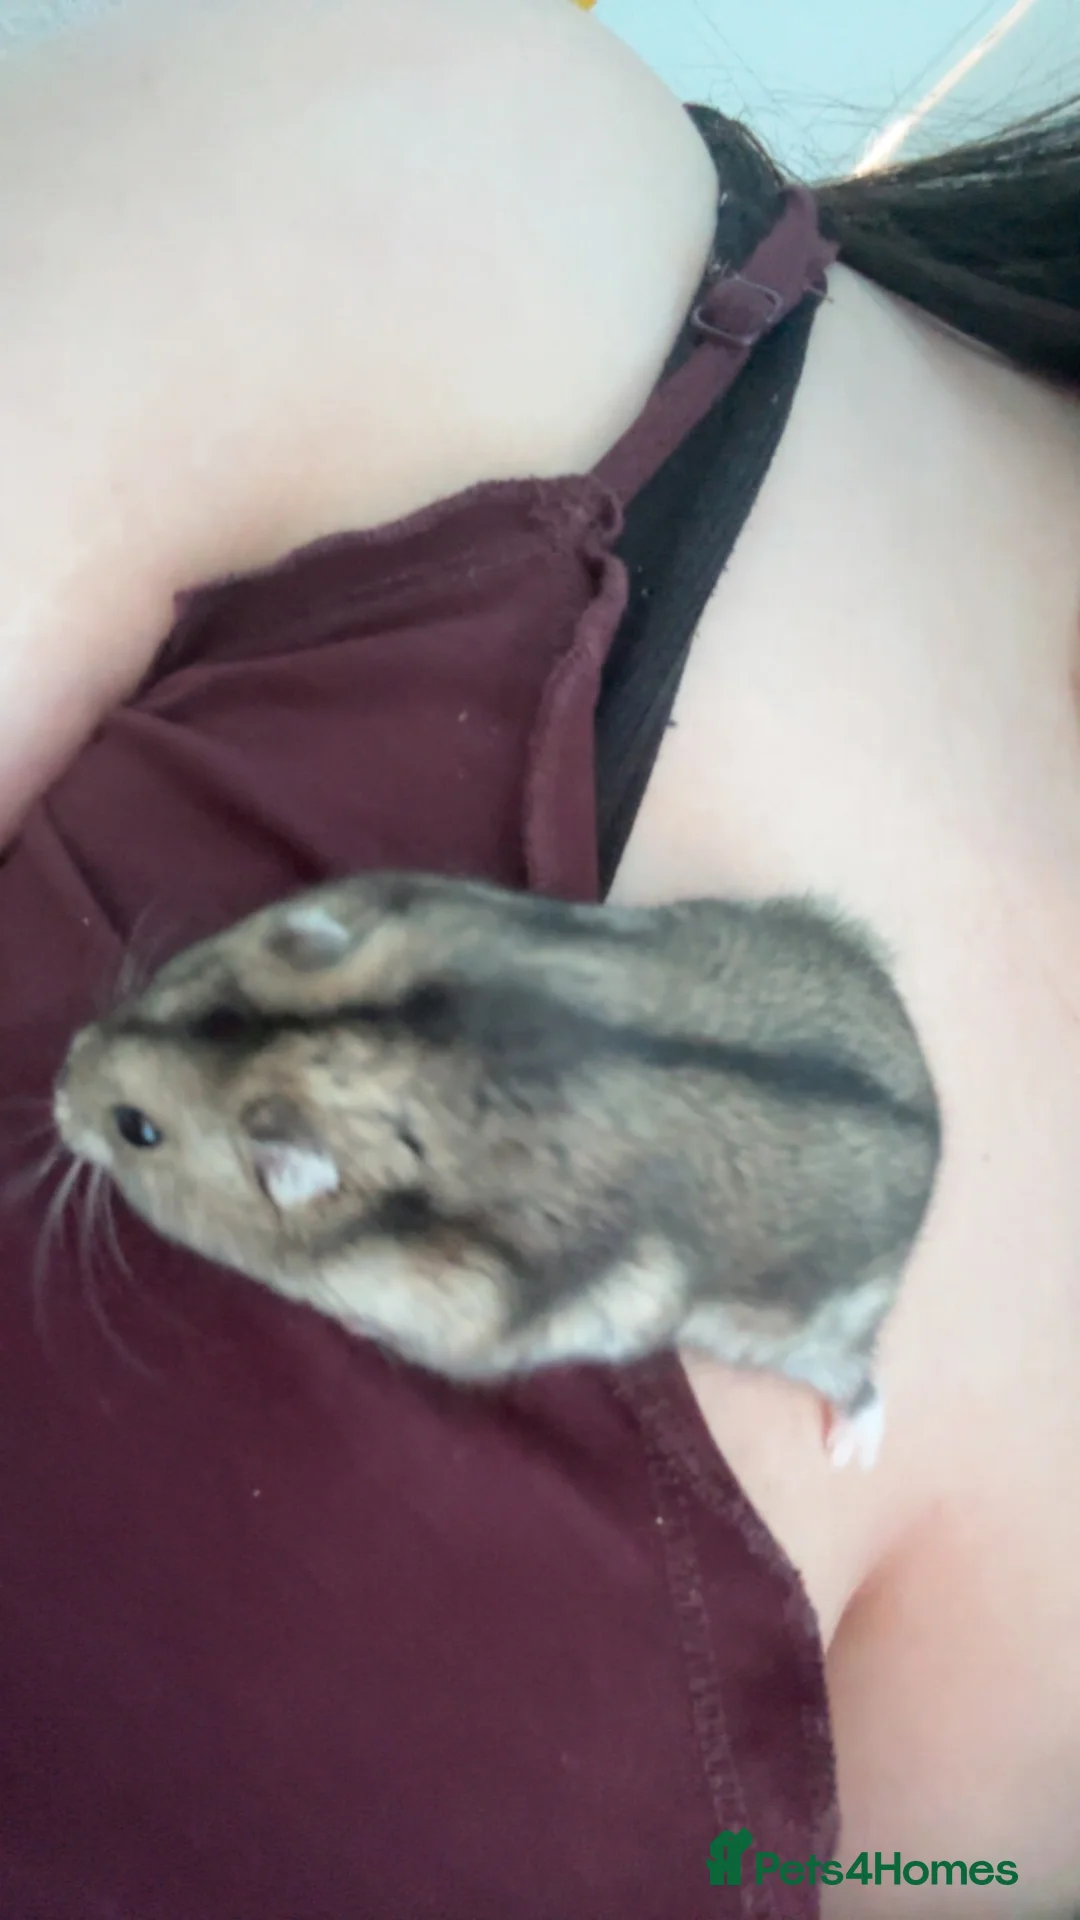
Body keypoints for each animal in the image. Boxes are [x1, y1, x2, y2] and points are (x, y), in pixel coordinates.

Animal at [53, 872, 941, 1468]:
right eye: (166, 985)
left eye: (137, 1130)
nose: (59, 1088)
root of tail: (936, 1128)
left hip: (806, 1332)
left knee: (858, 1376)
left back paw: (851, 1449)